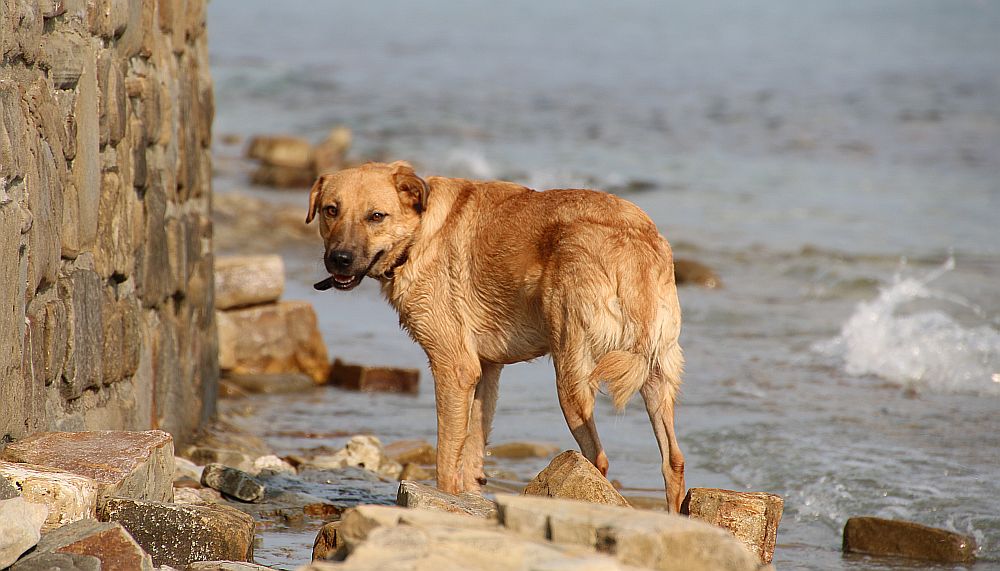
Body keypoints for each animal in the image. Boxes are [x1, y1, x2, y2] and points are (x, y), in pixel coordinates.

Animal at [306, 162, 688, 512]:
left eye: (376, 216)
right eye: (331, 210)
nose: (339, 260)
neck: (420, 232)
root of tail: (634, 242)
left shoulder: (454, 368)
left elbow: (447, 458)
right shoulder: (485, 371)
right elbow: (472, 451)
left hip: (572, 376)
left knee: (598, 459)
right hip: (656, 376)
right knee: (673, 461)